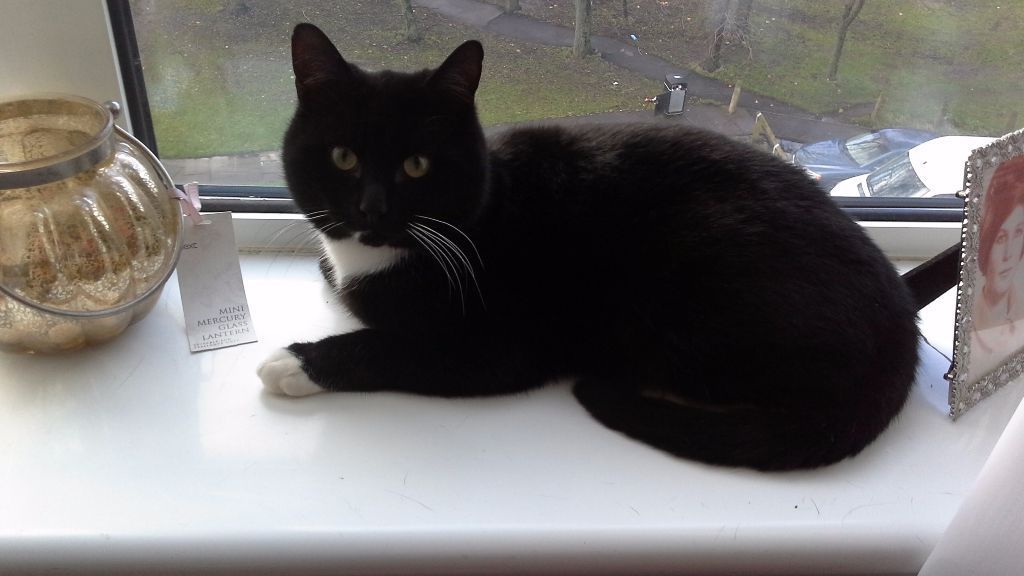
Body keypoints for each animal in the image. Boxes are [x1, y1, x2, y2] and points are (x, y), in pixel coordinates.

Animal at [258, 24, 929, 469]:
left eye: (417, 165)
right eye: (343, 157)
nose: (371, 208)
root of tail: (900, 326)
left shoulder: (501, 344)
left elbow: (391, 346)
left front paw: (296, 363)